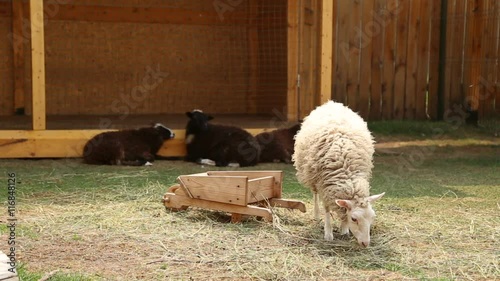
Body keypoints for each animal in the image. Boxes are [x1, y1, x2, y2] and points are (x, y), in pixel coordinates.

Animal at [292, 100, 384, 247]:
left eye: (372, 217)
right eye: (354, 219)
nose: (366, 243)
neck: (347, 173)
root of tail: (331, 103)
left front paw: (344, 229)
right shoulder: (325, 186)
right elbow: (327, 209)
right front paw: (328, 233)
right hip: (311, 175)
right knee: (315, 194)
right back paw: (316, 215)